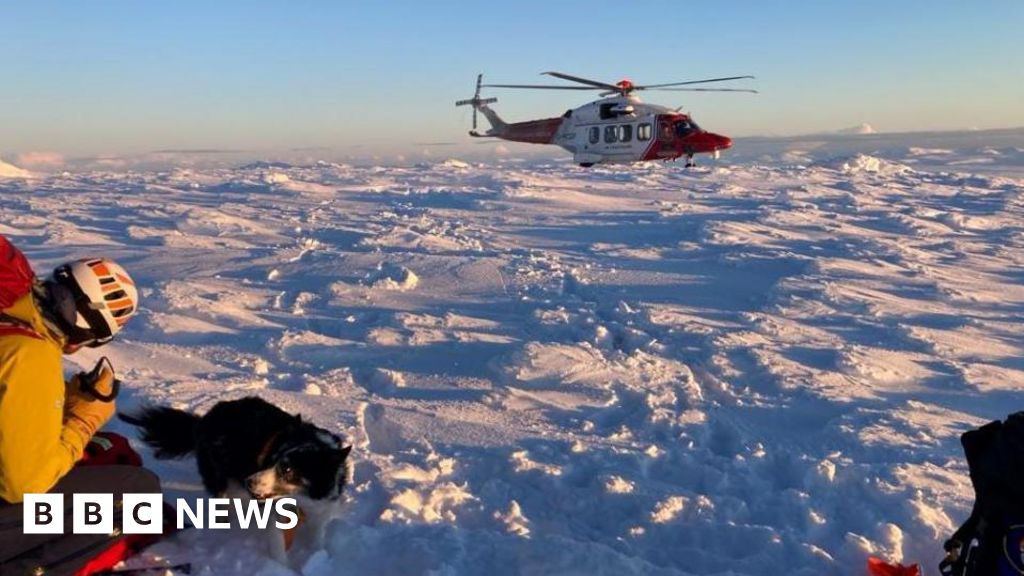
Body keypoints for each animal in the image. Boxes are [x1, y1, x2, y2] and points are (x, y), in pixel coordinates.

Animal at [117, 391, 352, 557]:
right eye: (273, 460)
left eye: (287, 469)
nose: (249, 482)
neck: (302, 499)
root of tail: (205, 419)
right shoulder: (273, 513)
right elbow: (278, 550)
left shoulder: (321, 510)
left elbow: (317, 542)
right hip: (218, 479)